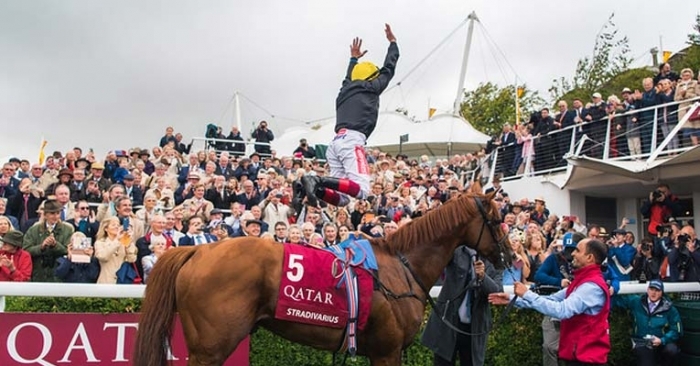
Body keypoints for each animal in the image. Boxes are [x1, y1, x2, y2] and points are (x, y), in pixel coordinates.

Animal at [134, 192, 512, 366]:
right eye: (497, 220)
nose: (510, 256)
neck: (401, 268)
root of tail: (198, 251)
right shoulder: (387, 352)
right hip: (210, 348)